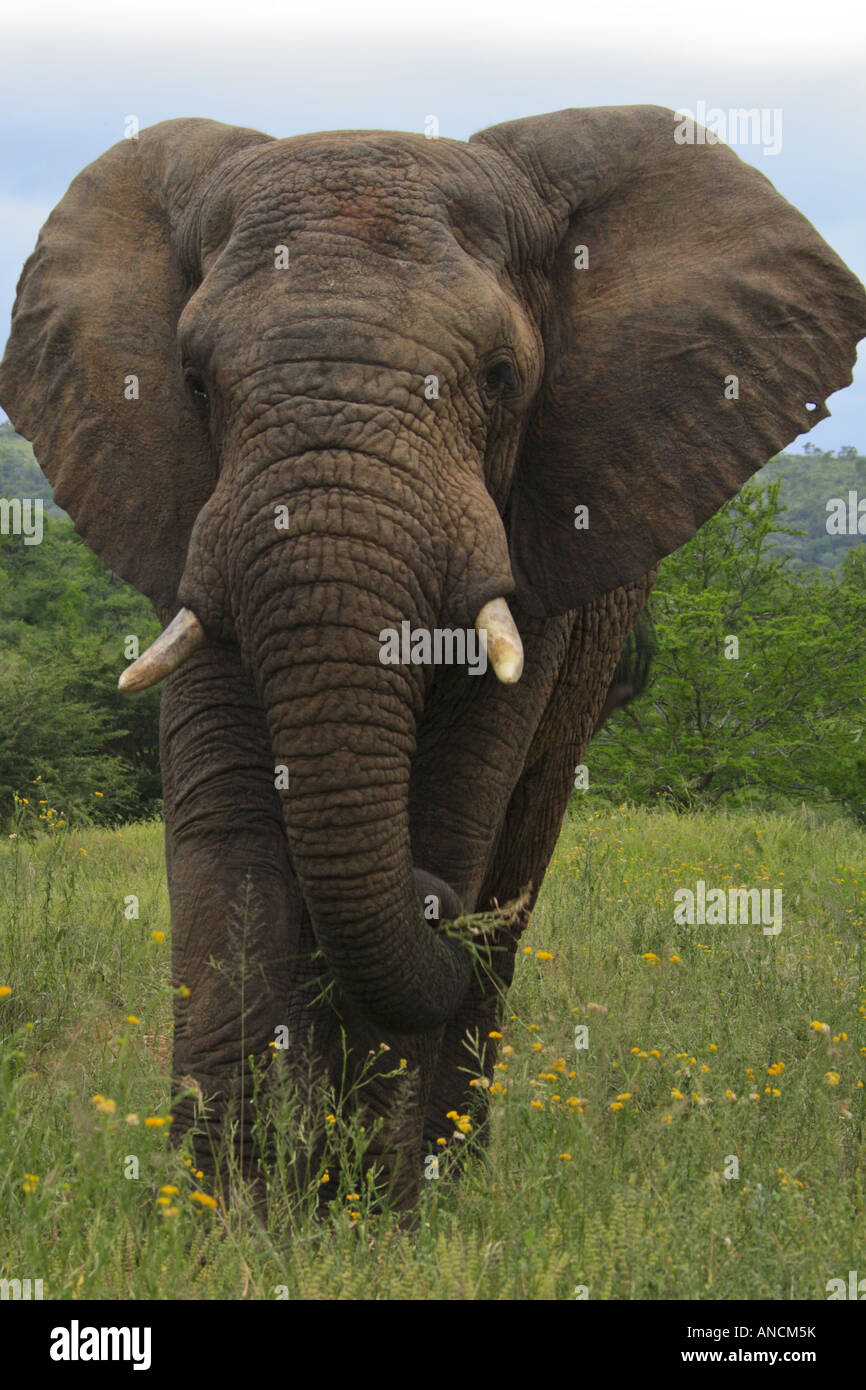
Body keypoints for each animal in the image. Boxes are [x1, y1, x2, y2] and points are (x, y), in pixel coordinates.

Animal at [1, 105, 866, 1206]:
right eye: (192, 382)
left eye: (500, 378)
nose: (431, 905)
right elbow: (229, 828)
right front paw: (225, 1211)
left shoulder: (542, 541)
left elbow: (454, 800)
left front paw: (373, 1212)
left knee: (514, 865)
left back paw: (452, 1165)